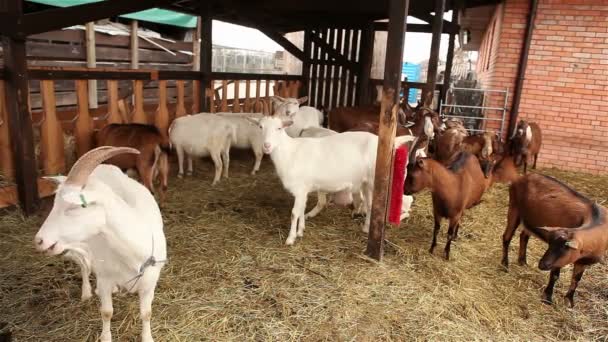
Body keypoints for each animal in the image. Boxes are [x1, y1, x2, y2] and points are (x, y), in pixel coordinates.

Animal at [35, 146, 169, 342]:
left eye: (75, 206)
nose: (39, 240)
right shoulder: (105, 278)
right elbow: (106, 312)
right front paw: (105, 337)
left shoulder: (150, 282)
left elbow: (147, 314)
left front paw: (147, 338)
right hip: (77, 246)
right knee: (83, 265)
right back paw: (87, 292)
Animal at [249, 116, 416, 244]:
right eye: (260, 127)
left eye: (279, 128)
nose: (267, 146)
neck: (289, 152)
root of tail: (390, 143)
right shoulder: (304, 190)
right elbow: (302, 210)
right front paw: (301, 231)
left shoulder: (300, 189)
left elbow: (294, 213)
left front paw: (290, 238)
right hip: (366, 182)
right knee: (369, 205)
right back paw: (365, 228)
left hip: (375, 180)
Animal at [502, 174, 604, 308]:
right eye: (550, 245)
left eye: (565, 249)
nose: (541, 264)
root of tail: (522, 177)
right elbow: (555, 275)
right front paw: (547, 298)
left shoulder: (582, 261)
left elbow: (576, 279)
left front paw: (569, 301)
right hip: (514, 207)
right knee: (507, 237)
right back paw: (504, 265)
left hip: (531, 219)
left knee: (524, 236)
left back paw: (523, 261)